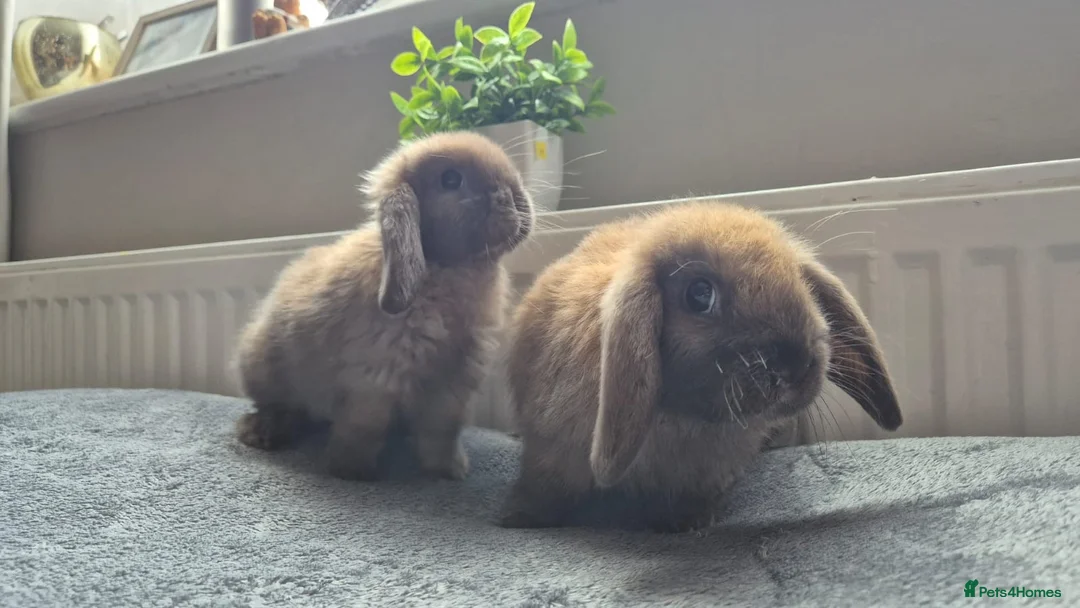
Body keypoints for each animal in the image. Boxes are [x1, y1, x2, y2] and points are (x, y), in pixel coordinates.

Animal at [233, 131, 534, 481]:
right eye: (450, 179)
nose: (514, 194)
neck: (446, 267)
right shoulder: (375, 376)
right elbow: (365, 426)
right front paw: (352, 472)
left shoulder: (454, 382)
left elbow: (442, 431)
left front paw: (449, 472)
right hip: (264, 368)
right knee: (276, 407)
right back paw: (261, 432)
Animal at [499, 201, 902, 532]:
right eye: (699, 294)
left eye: (801, 284)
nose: (797, 365)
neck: (682, 419)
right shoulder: (550, 452)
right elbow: (544, 487)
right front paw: (518, 518)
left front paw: (688, 521)